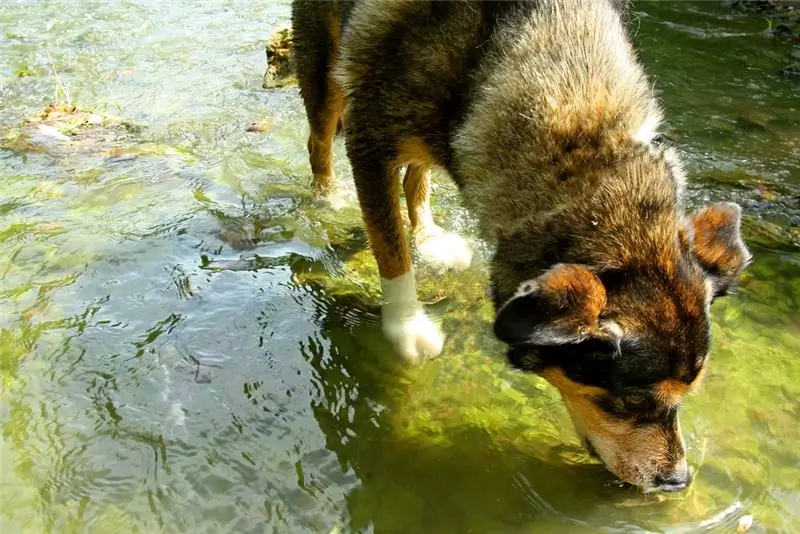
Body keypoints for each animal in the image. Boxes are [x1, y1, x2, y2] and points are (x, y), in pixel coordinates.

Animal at [290, 0, 752, 494]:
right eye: (629, 401)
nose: (678, 481)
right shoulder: (369, 140)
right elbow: (390, 248)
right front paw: (406, 326)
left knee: (418, 171)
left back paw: (429, 236)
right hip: (325, 68)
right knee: (319, 139)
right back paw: (326, 198)